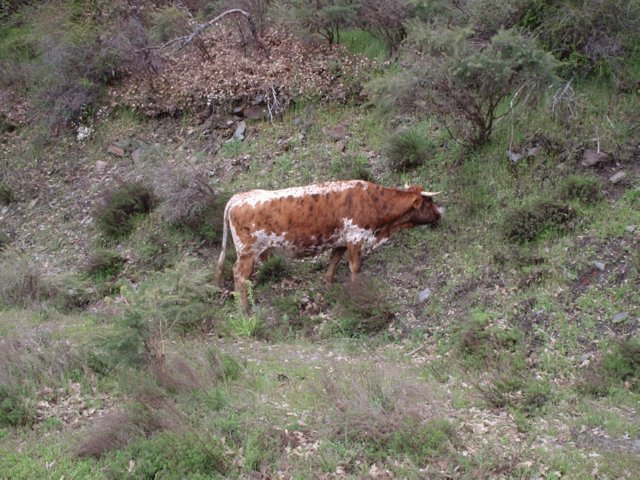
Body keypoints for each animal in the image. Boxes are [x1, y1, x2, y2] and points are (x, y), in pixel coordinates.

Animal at [215, 180, 440, 312]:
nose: (440, 213)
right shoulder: (355, 239)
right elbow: (355, 268)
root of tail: (238, 197)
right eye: (429, 203)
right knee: (239, 274)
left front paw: (329, 289)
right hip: (247, 252)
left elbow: (332, 265)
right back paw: (244, 308)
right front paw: (356, 292)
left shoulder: (340, 242)